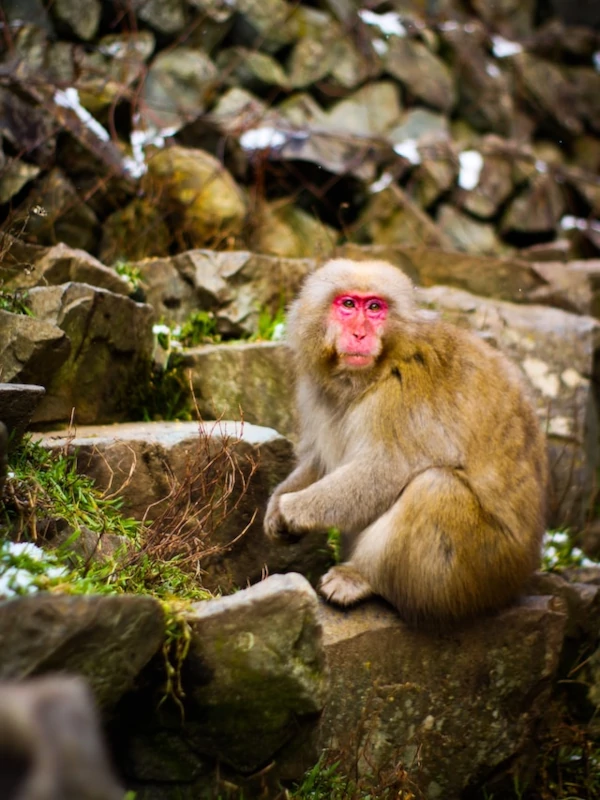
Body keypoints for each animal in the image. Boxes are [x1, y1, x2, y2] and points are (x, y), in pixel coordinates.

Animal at [264, 258, 548, 626]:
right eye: (348, 304)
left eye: (374, 308)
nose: (360, 334)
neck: (376, 370)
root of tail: (522, 575)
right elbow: (321, 461)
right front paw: (276, 506)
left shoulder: (401, 394)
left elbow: (384, 470)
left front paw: (292, 508)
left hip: (487, 570)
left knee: (435, 488)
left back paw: (361, 577)